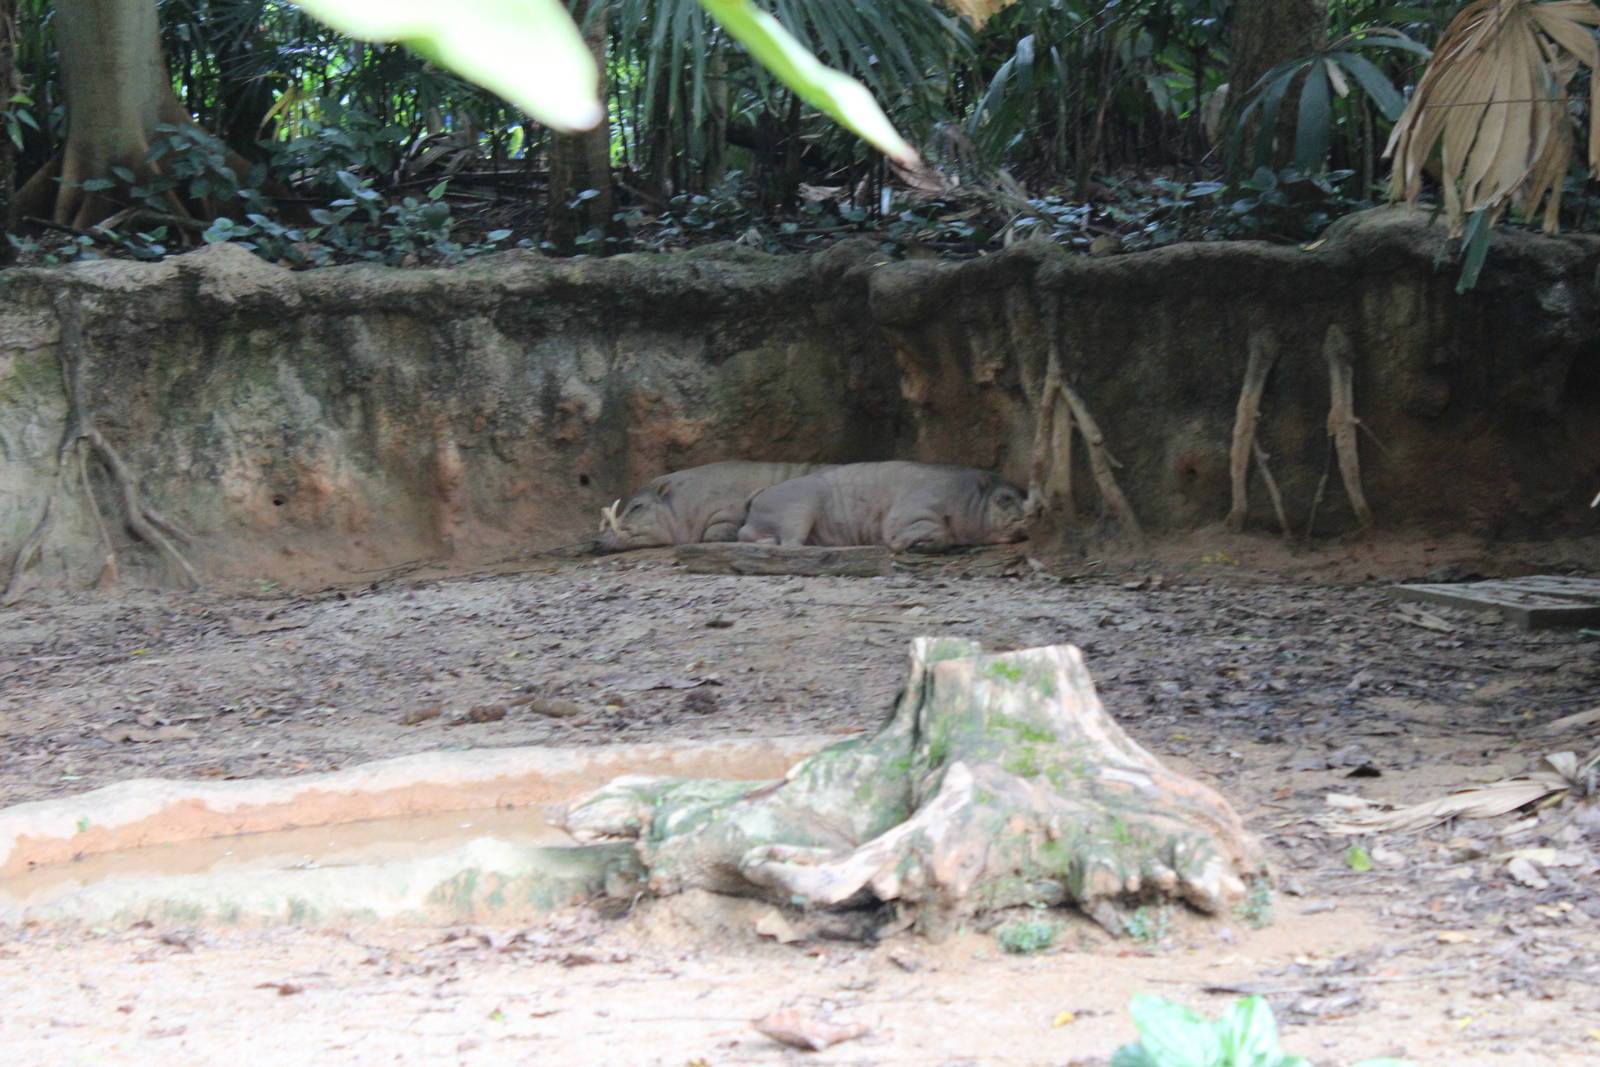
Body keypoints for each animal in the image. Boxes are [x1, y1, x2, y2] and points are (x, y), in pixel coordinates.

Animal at [737, 461, 1028, 552]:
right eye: (1005, 498)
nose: (1027, 519)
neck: (966, 500)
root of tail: (756, 500)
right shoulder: (908, 513)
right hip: (797, 509)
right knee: (790, 542)